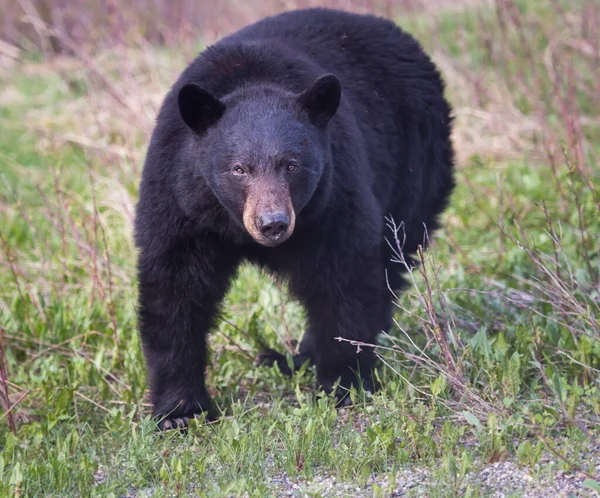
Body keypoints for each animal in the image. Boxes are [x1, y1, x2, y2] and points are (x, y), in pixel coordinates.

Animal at [135, 6, 454, 428]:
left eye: (291, 165)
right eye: (239, 169)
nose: (272, 223)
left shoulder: (333, 199)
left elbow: (344, 280)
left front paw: (343, 384)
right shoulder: (180, 203)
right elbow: (175, 291)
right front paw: (179, 411)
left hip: (415, 165)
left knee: (391, 259)